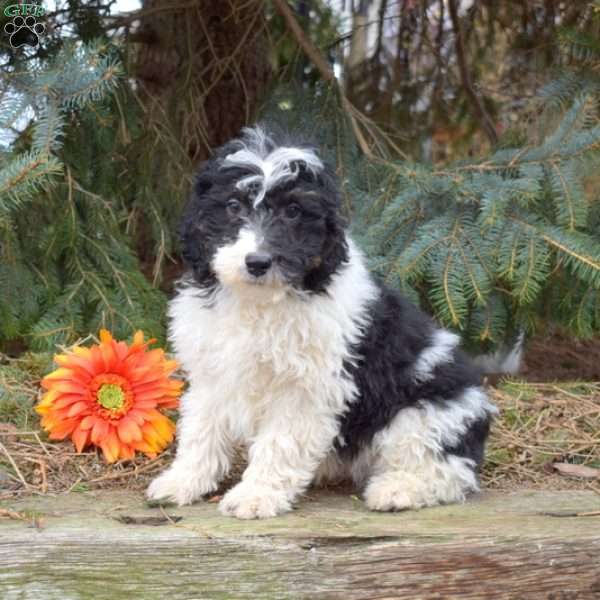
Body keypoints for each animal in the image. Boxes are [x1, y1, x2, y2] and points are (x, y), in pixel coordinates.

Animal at [146, 125, 496, 516]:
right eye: (233, 206)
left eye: (294, 211)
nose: (258, 262)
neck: (260, 300)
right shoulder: (212, 373)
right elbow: (201, 429)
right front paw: (182, 481)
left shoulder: (305, 388)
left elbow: (279, 442)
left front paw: (256, 495)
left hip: (423, 413)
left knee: (447, 469)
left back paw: (398, 489)